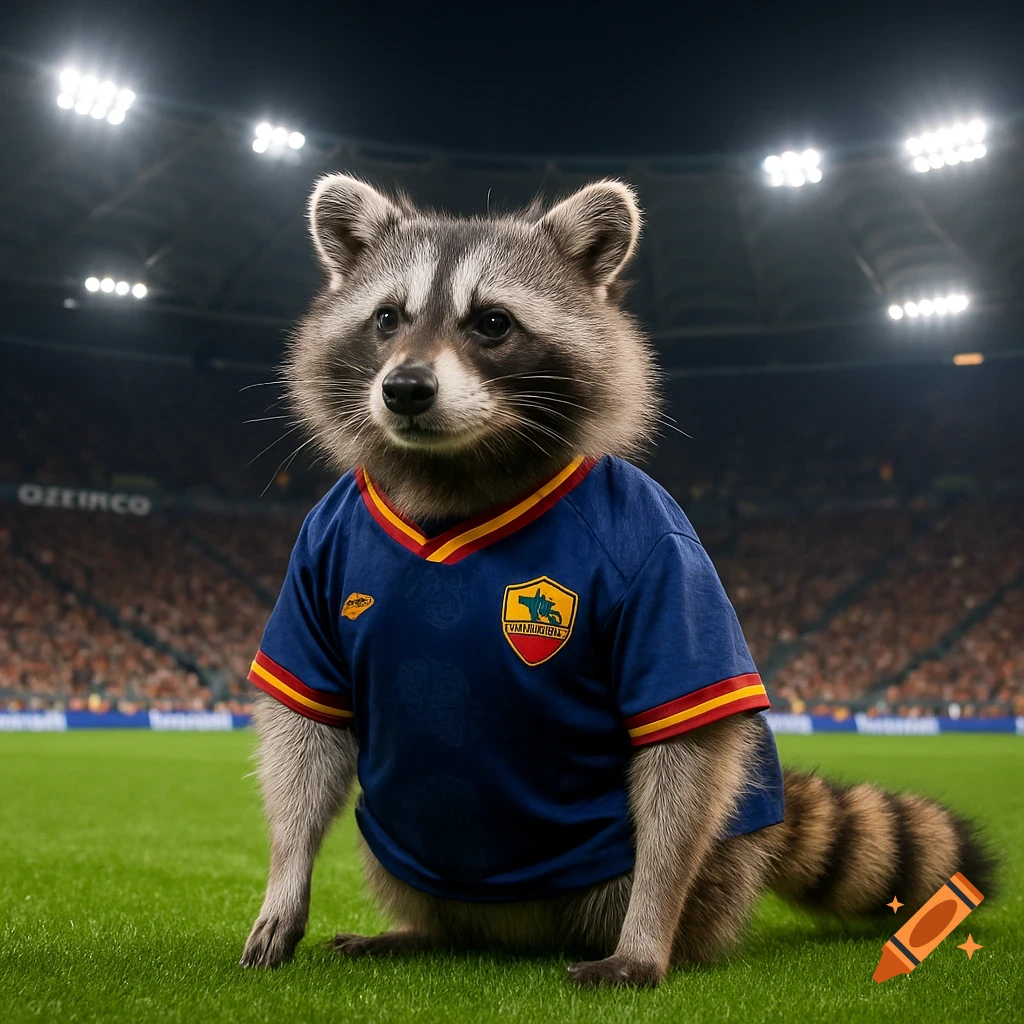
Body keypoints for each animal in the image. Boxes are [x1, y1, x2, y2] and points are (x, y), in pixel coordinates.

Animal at [240, 175, 994, 987]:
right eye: (386, 318)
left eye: (493, 324)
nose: (406, 388)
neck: (454, 476)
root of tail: (510, 934)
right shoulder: (316, 554)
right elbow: (306, 731)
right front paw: (286, 879)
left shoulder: (663, 554)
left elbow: (684, 749)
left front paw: (646, 933)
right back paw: (426, 930)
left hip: (697, 865)